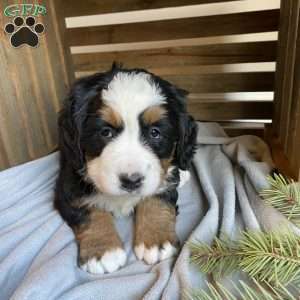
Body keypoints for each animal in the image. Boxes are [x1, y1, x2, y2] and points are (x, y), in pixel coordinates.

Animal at [55, 63, 198, 274]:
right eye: (105, 132)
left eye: (155, 133)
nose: (131, 181)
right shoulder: (69, 185)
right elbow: (88, 210)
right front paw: (103, 250)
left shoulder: (160, 180)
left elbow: (157, 199)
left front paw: (156, 240)